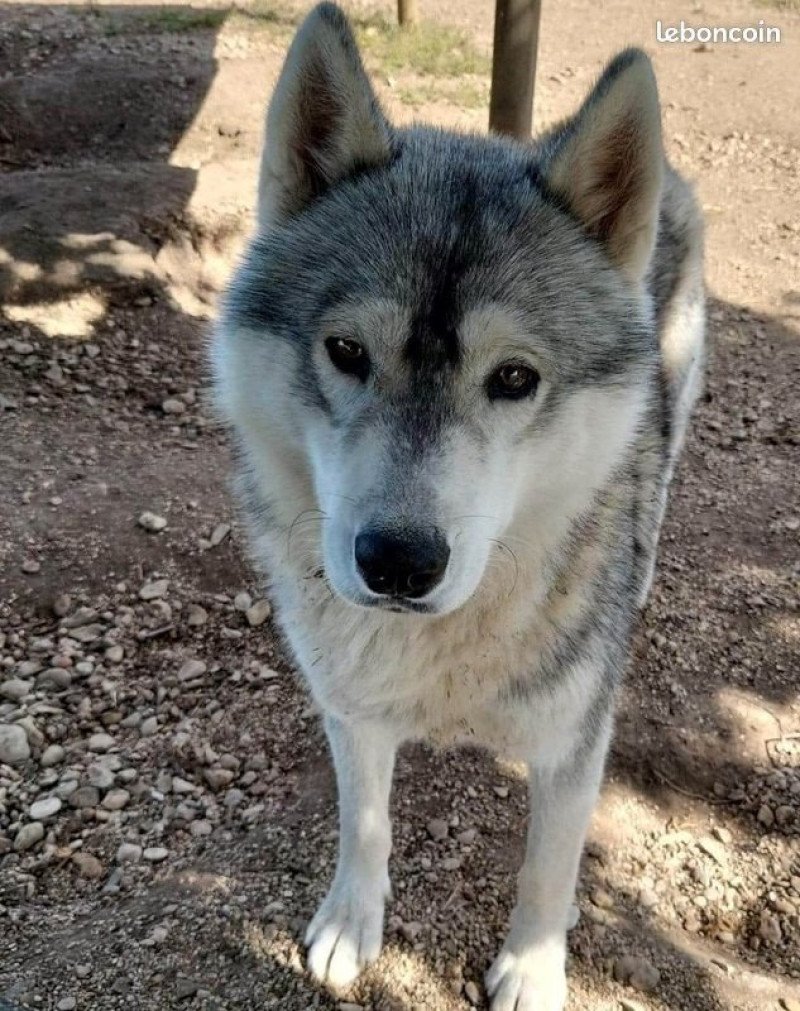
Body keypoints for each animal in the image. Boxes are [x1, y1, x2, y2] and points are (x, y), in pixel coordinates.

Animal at [209, 3, 703, 1006]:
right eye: (347, 351)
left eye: (513, 377)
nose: (398, 560)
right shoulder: (351, 707)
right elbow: (364, 822)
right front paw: (350, 927)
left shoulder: (575, 742)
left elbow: (548, 869)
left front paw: (532, 970)